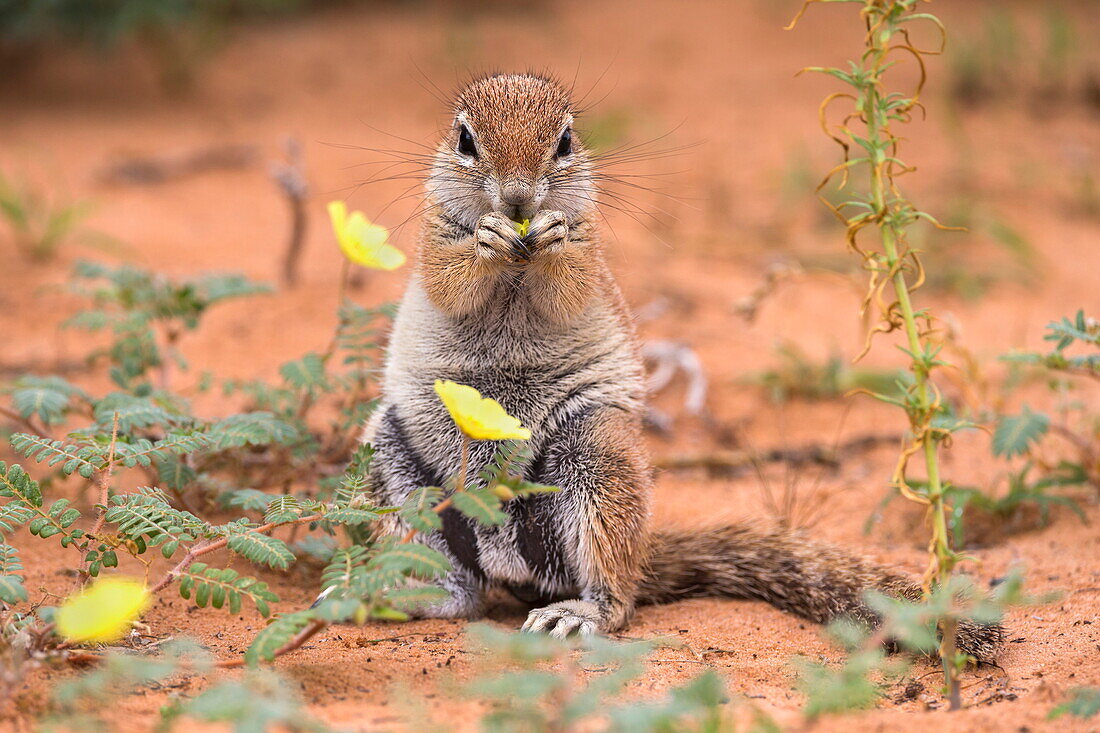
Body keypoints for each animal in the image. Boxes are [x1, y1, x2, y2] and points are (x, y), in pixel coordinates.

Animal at [363, 71, 1007, 660]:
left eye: (565, 141)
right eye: (465, 140)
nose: (519, 200)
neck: (515, 269)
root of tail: (508, 564)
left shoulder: (591, 250)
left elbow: (569, 283)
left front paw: (549, 237)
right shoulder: (433, 234)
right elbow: (451, 278)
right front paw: (487, 239)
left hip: (596, 458)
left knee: (616, 594)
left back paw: (580, 612)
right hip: (390, 460)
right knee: (463, 589)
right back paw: (411, 597)